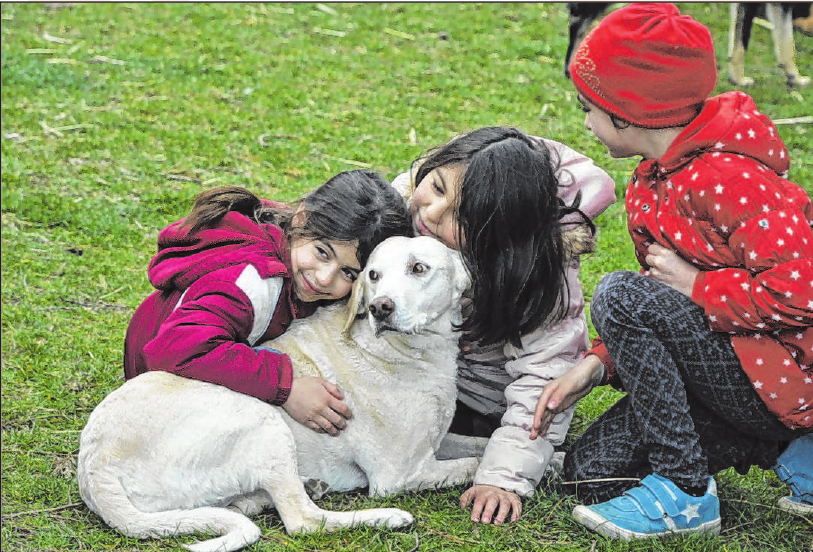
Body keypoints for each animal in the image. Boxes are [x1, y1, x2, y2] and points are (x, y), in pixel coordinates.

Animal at [77, 236, 482, 552]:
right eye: (373, 275)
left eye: (419, 268)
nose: (380, 308)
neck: (415, 352)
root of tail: (94, 468)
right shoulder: (401, 473)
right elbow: (473, 466)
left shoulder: (436, 441)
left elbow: (479, 445)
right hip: (263, 419)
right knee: (304, 521)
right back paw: (386, 517)